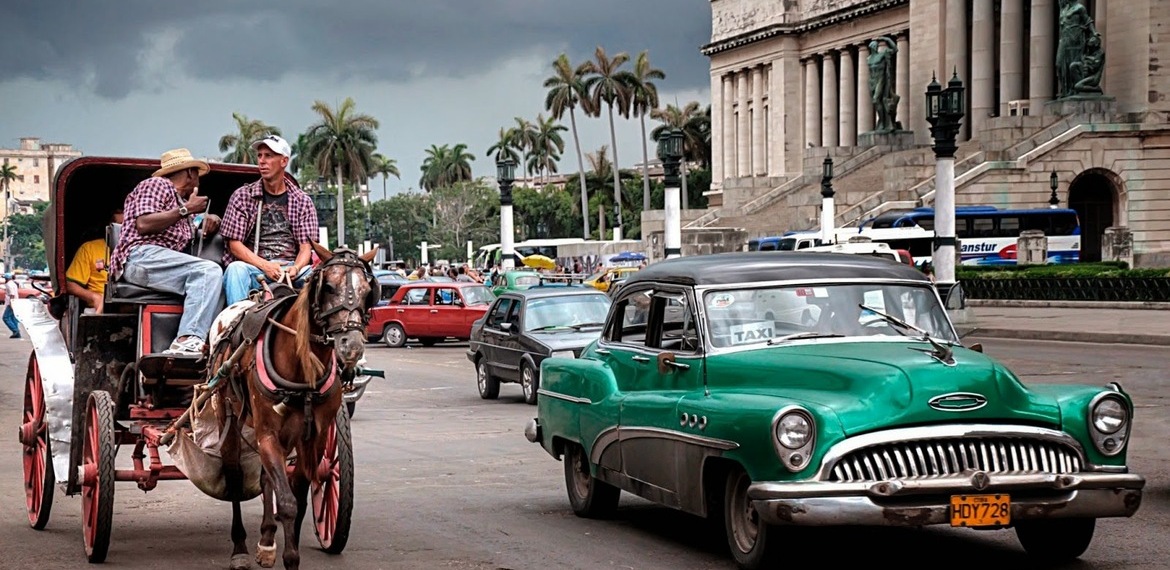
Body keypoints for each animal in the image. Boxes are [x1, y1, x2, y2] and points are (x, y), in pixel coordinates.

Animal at [205, 243, 376, 568]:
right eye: (328, 287)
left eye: (367, 290)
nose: (352, 347)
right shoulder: (268, 434)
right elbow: (286, 501)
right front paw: (288, 555)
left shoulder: (313, 438)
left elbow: (299, 493)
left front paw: (285, 546)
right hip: (228, 417)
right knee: (234, 476)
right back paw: (240, 548)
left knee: (265, 478)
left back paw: (267, 538)